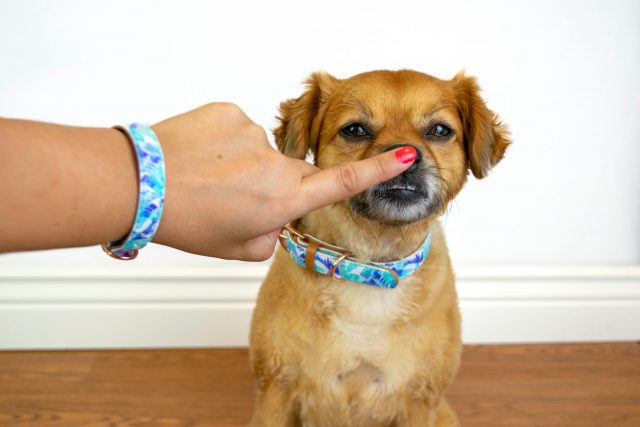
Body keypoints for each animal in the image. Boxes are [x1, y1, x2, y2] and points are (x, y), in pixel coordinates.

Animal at [250, 68, 510, 426]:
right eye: (355, 130)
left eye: (440, 130)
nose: (405, 155)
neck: (370, 263)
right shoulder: (275, 391)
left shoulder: (419, 401)